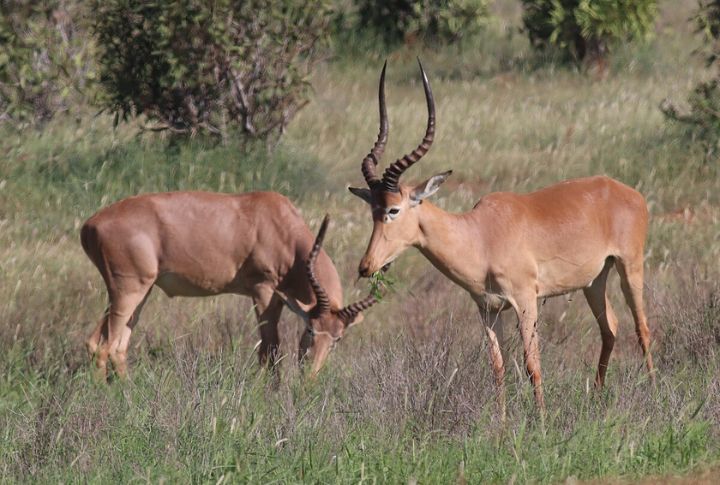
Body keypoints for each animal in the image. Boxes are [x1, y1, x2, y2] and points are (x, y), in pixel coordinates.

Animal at [81, 192, 377, 381]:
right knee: (105, 345)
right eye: (310, 330)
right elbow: (270, 348)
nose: (309, 379)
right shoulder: (263, 291)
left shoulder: (280, 299)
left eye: (338, 339)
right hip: (128, 291)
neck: (278, 222)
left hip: (139, 292)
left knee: (109, 344)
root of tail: (90, 225)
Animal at [349, 61, 655, 415]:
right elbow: (497, 368)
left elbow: (532, 364)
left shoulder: (526, 302)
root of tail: (626, 191)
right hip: (594, 280)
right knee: (611, 327)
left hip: (629, 267)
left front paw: (541, 420)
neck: (480, 235)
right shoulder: (488, 310)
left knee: (642, 327)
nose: (366, 266)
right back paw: (598, 397)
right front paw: (502, 423)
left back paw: (655, 391)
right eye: (372, 209)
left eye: (394, 209)